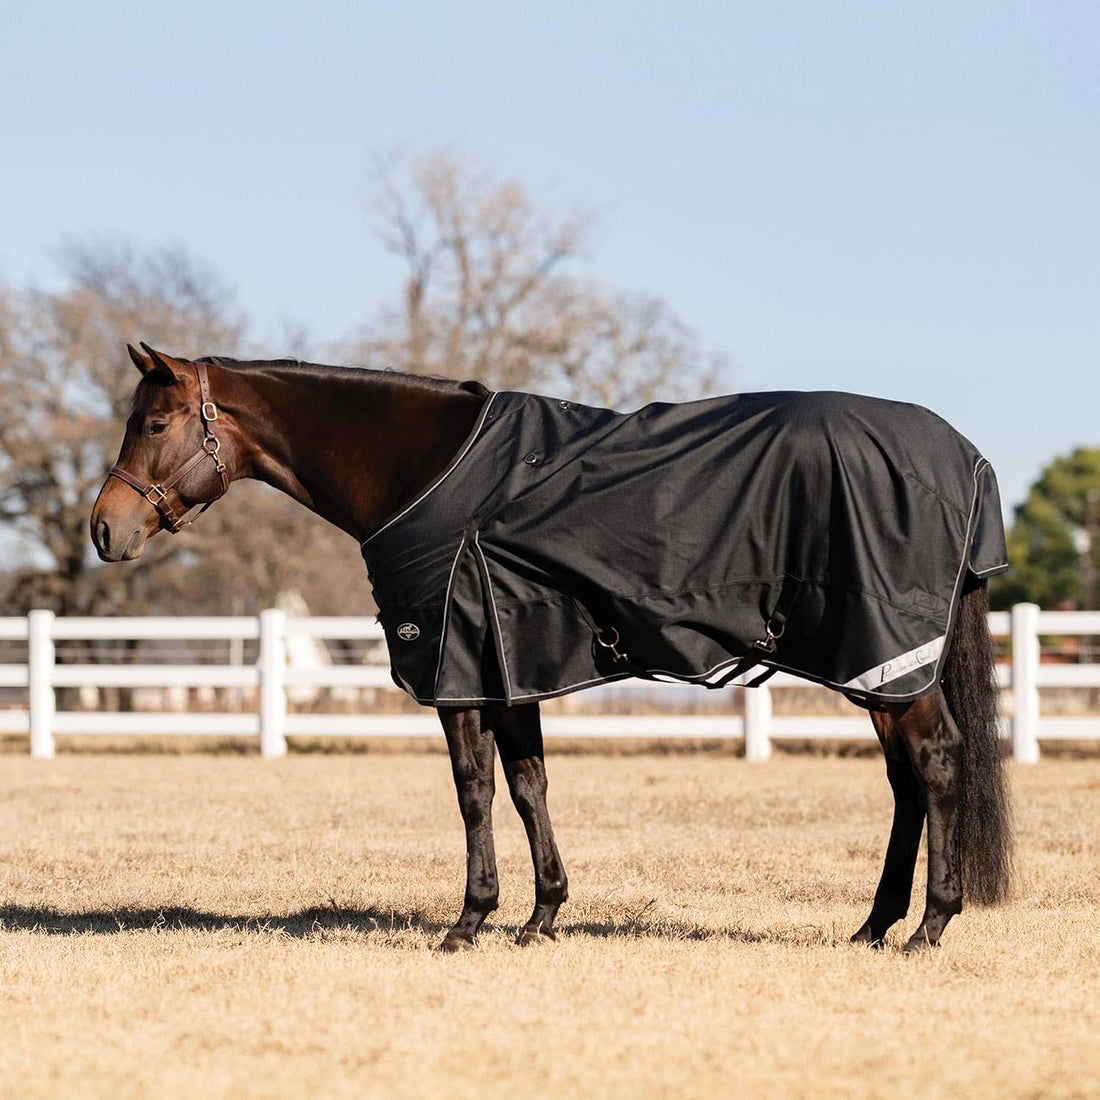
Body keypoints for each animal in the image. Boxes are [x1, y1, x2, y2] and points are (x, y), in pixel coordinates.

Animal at [90, 344, 1014, 952]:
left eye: (157, 422)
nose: (105, 529)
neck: (426, 473)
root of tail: (965, 457)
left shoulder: (458, 669)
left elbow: (473, 792)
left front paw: (468, 922)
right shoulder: (512, 663)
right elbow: (530, 785)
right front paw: (541, 917)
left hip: (888, 662)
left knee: (936, 764)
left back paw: (928, 927)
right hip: (878, 672)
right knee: (905, 783)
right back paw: (873, 925)